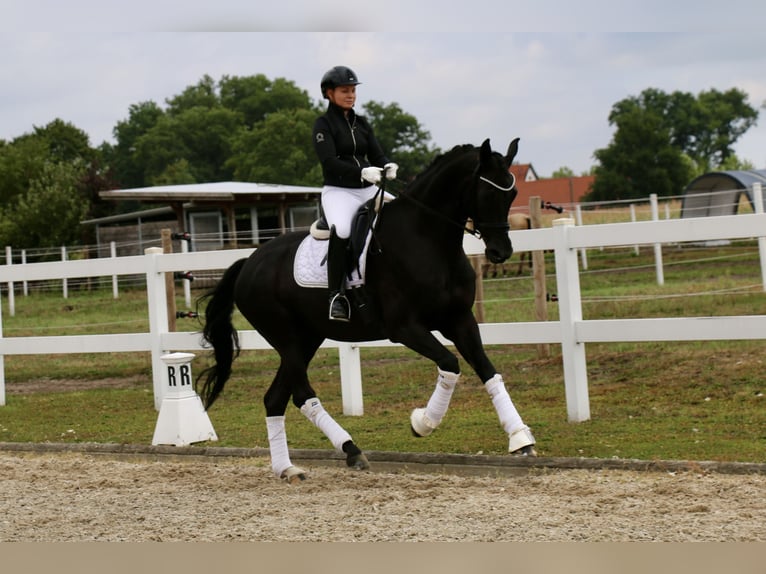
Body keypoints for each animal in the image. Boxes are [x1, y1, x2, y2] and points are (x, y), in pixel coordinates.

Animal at [196, 138, 537, 483]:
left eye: (512, 195)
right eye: (488, 193)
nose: (501, 252)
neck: (427, 239)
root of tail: (248, 263)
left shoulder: (460, 320)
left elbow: (487, 370)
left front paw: (520, 438)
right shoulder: (405, 328)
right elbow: (450, 364)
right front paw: (422, 423)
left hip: (307, 339)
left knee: (276, 398)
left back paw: (289, 467)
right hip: (288, 339)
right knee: (301, 393)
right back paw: (350, 450)